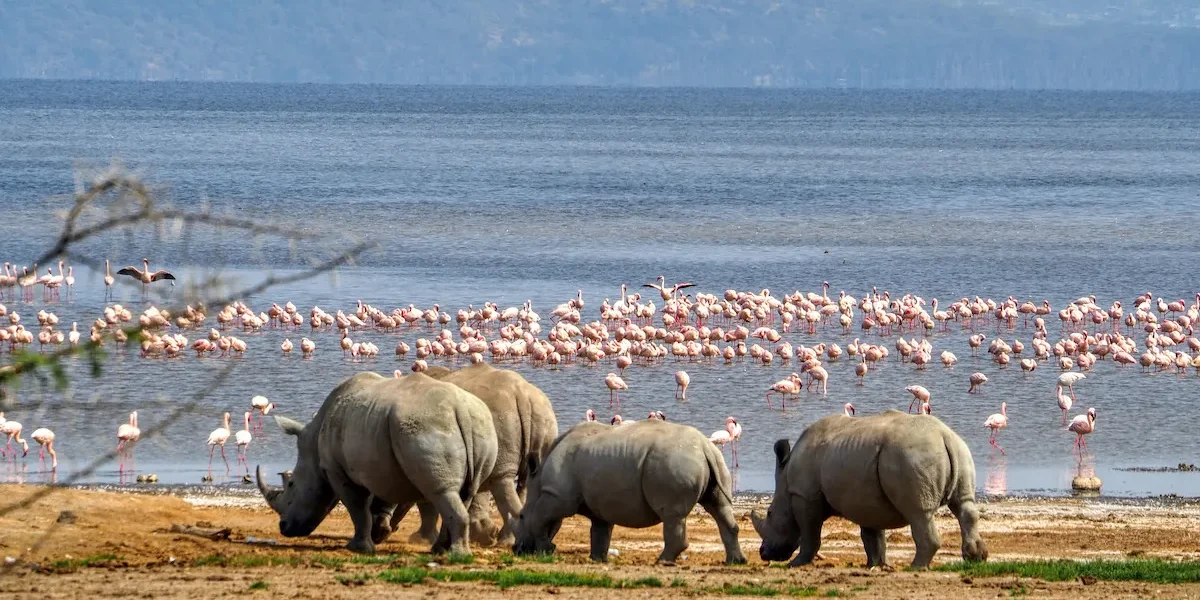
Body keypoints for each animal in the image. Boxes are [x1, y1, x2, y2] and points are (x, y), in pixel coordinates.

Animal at [255, 371, 498, 555]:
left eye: (291, 485)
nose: (283, 528)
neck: (313, 444)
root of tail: (461, 410)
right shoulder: (381, 464)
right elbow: (379, 500)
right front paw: (378, 534)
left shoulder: (337, 470)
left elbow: (357, 508)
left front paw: (359, 548)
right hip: (481, 426)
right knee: (465, 492)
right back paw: (440, 551)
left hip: (428, 426)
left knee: (441, 491)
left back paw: (457, 556)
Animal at [373, 363, 559, 546]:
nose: (380, 534)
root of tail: (522, 397)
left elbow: (426, 503)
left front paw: (421, 539)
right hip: (543, 418)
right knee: (524, 481)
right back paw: (505, 540)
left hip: (506, 418)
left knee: (502, 480)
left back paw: (503, 542)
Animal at [512, 419, 747, 565]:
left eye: (521, 516)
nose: (517, 550)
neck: (539, 481)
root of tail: (705, 447)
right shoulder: (599, 504)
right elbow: (600, 531)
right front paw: (597, 559)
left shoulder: (557, 496)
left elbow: (540, 518)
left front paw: (545, 549)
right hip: (712, 460)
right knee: (719, 507)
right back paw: (735, 562)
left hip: (674, 462)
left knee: (673, 515)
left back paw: (662, 561)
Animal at [751, 410, 988, 569]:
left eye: (769, 513)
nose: (763, 553)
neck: (786, 481)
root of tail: (943, 436)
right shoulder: (866, 499)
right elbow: (872, 535)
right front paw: (876, 565)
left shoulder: (805, 496)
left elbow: (810, 533)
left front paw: (796, 564)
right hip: (959, 450)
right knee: (964, 505)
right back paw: (976, 558)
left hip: (911, 456)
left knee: (919, 513)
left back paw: (916, 567)